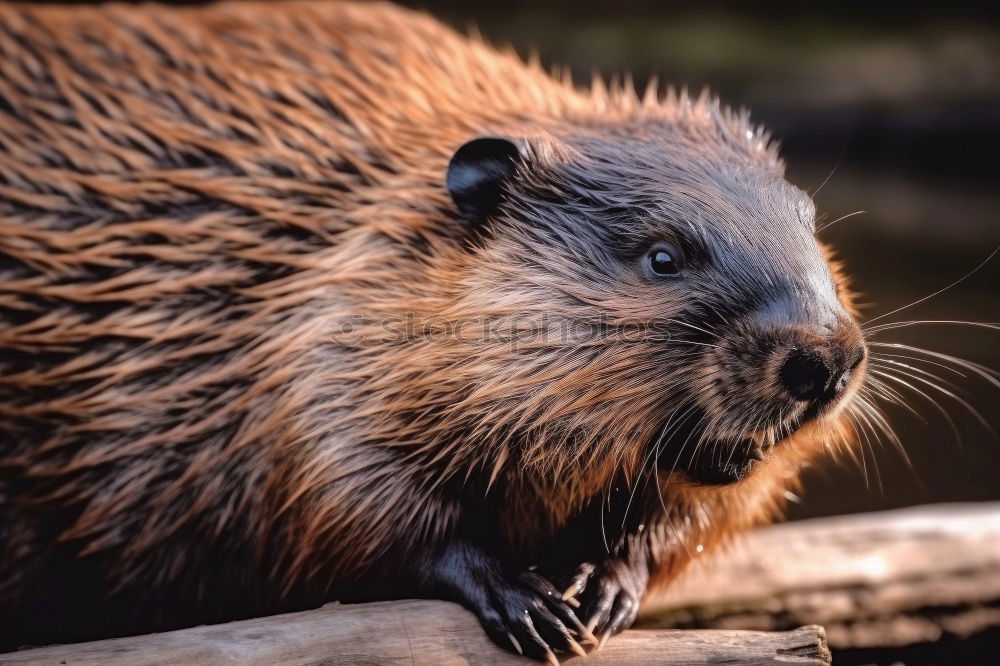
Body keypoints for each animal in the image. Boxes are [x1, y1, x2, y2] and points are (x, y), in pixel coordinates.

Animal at [0, 0, 872, 660]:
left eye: (807, 219)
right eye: (662, 256)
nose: (826, 359)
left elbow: (712, 508)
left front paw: (605, 586)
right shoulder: (320, 338)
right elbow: (346, 489)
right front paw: (528, 603)